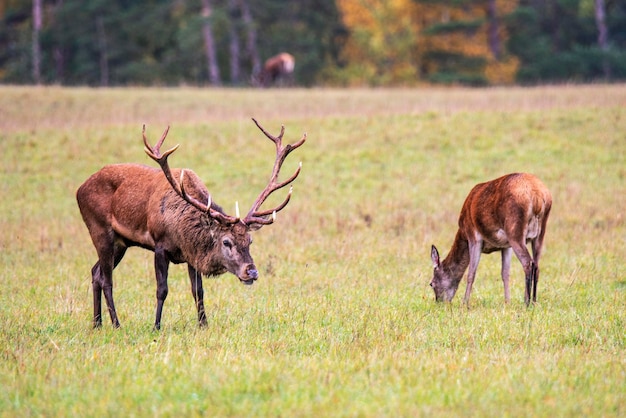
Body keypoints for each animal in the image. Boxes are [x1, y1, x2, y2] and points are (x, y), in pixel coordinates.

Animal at [75, 118, 304, 330]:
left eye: (250, 241)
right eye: (226, 242)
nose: (252, 272)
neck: (181, 232)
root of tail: (80, 189)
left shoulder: (191, 254)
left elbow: (198, 290)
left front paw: (203, 324)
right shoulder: (159, 246)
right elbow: (162, 289)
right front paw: (156, 326)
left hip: (121, 243)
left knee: (96, 272)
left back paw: (97, 323)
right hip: (99, 229)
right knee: (107, 279)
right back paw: (116, 324)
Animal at [428, 171, 552, 306]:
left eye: (431, 284)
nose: (439, 303)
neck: (463, 233)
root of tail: (538, 197)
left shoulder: (474, 237)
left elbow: (471, 273)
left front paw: (464, 303)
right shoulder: (506, 246)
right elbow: (505, 273)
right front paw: (507, 302)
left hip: (515, 231)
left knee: (528, 263)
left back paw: (527, 303)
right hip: (540, 233)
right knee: (536, 265)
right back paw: (534, 301)